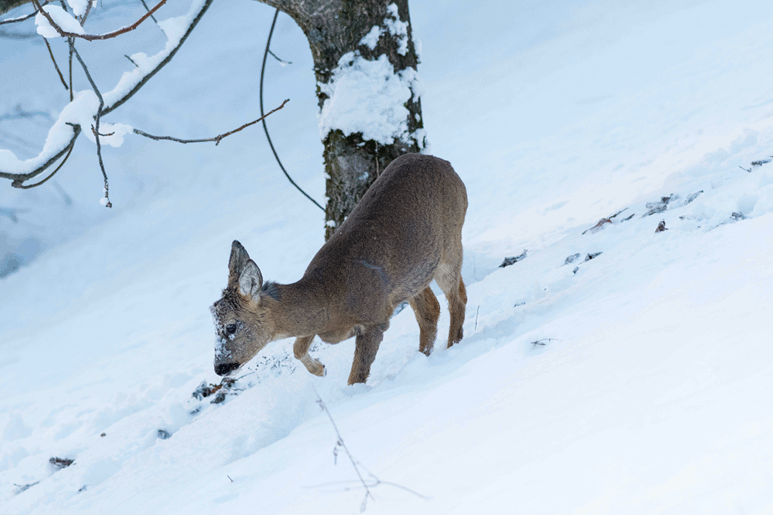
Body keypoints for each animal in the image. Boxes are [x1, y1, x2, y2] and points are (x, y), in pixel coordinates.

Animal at [210, 153, 468, 385]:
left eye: (231, 326)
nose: (219, 367)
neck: (330, 298)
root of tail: (447, 164)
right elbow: (297, 347)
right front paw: (321, 369)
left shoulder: (375, 318)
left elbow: (355, 377)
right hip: (415, 275)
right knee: (431, 312)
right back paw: (423, 358)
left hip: (450, 242)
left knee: (456, 298)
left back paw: (453, 347)